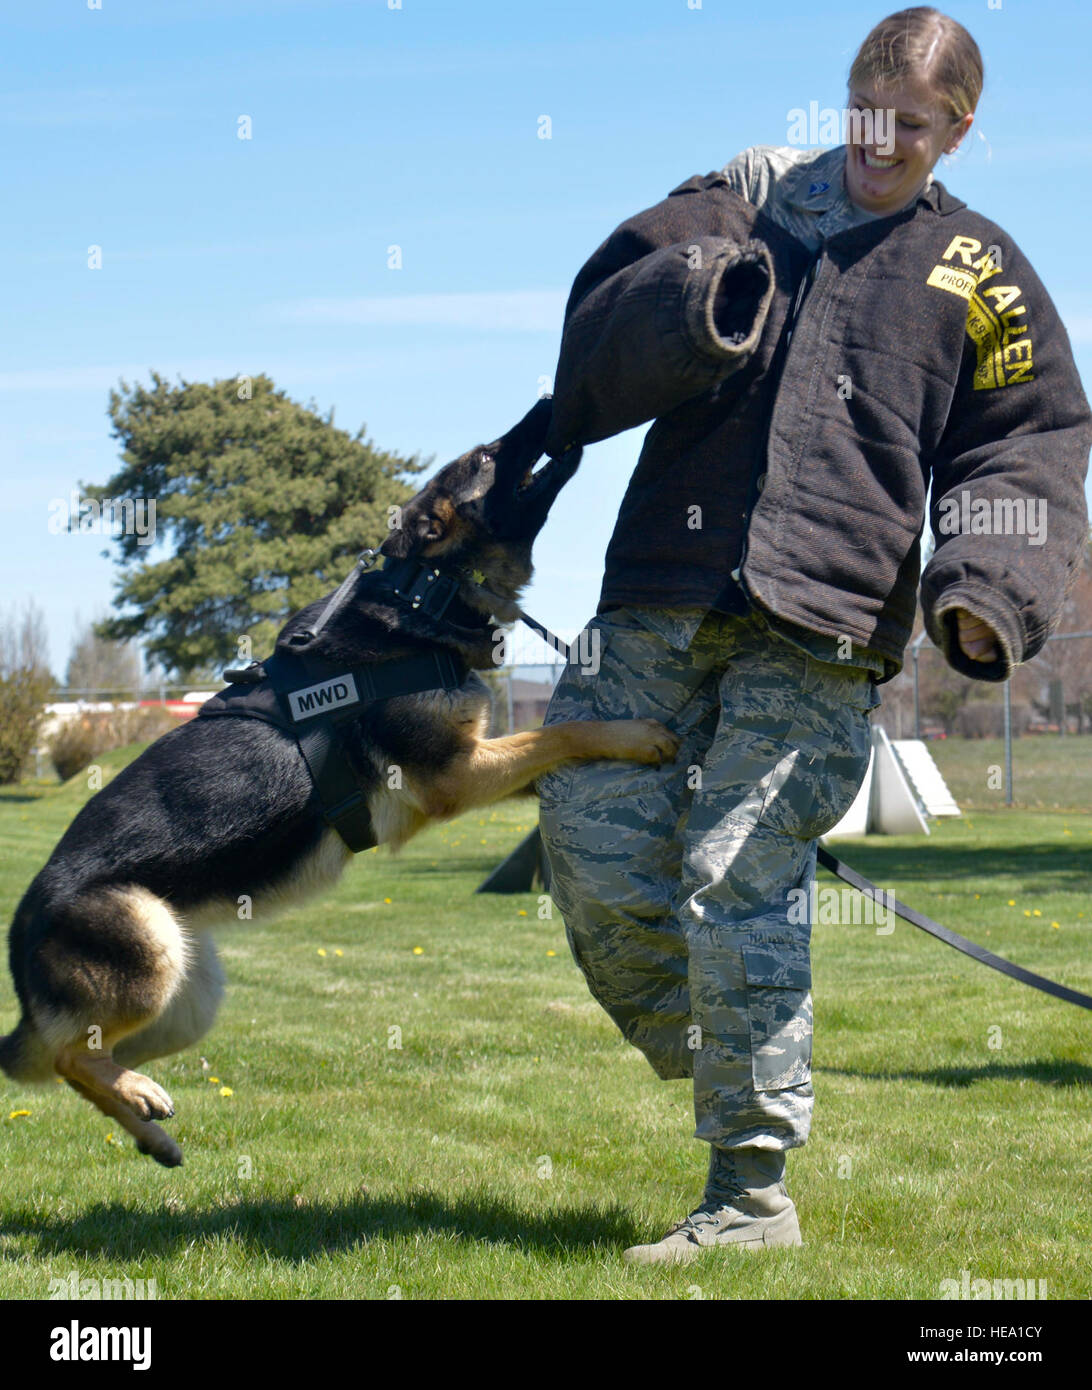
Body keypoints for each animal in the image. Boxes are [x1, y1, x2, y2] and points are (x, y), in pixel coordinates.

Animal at [2, 400, 672, 1162]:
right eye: (484, 458)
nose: (546, 406)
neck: (422, 596)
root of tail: (22, 926)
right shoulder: (455, 775)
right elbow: (559, 734)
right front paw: (638, 735)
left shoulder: (476, 766)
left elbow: (547, 752)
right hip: (151, 958)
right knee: (67, 1057)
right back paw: (140, 1100)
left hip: (189, 994)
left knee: (73, 1060)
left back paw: (150, 1132)